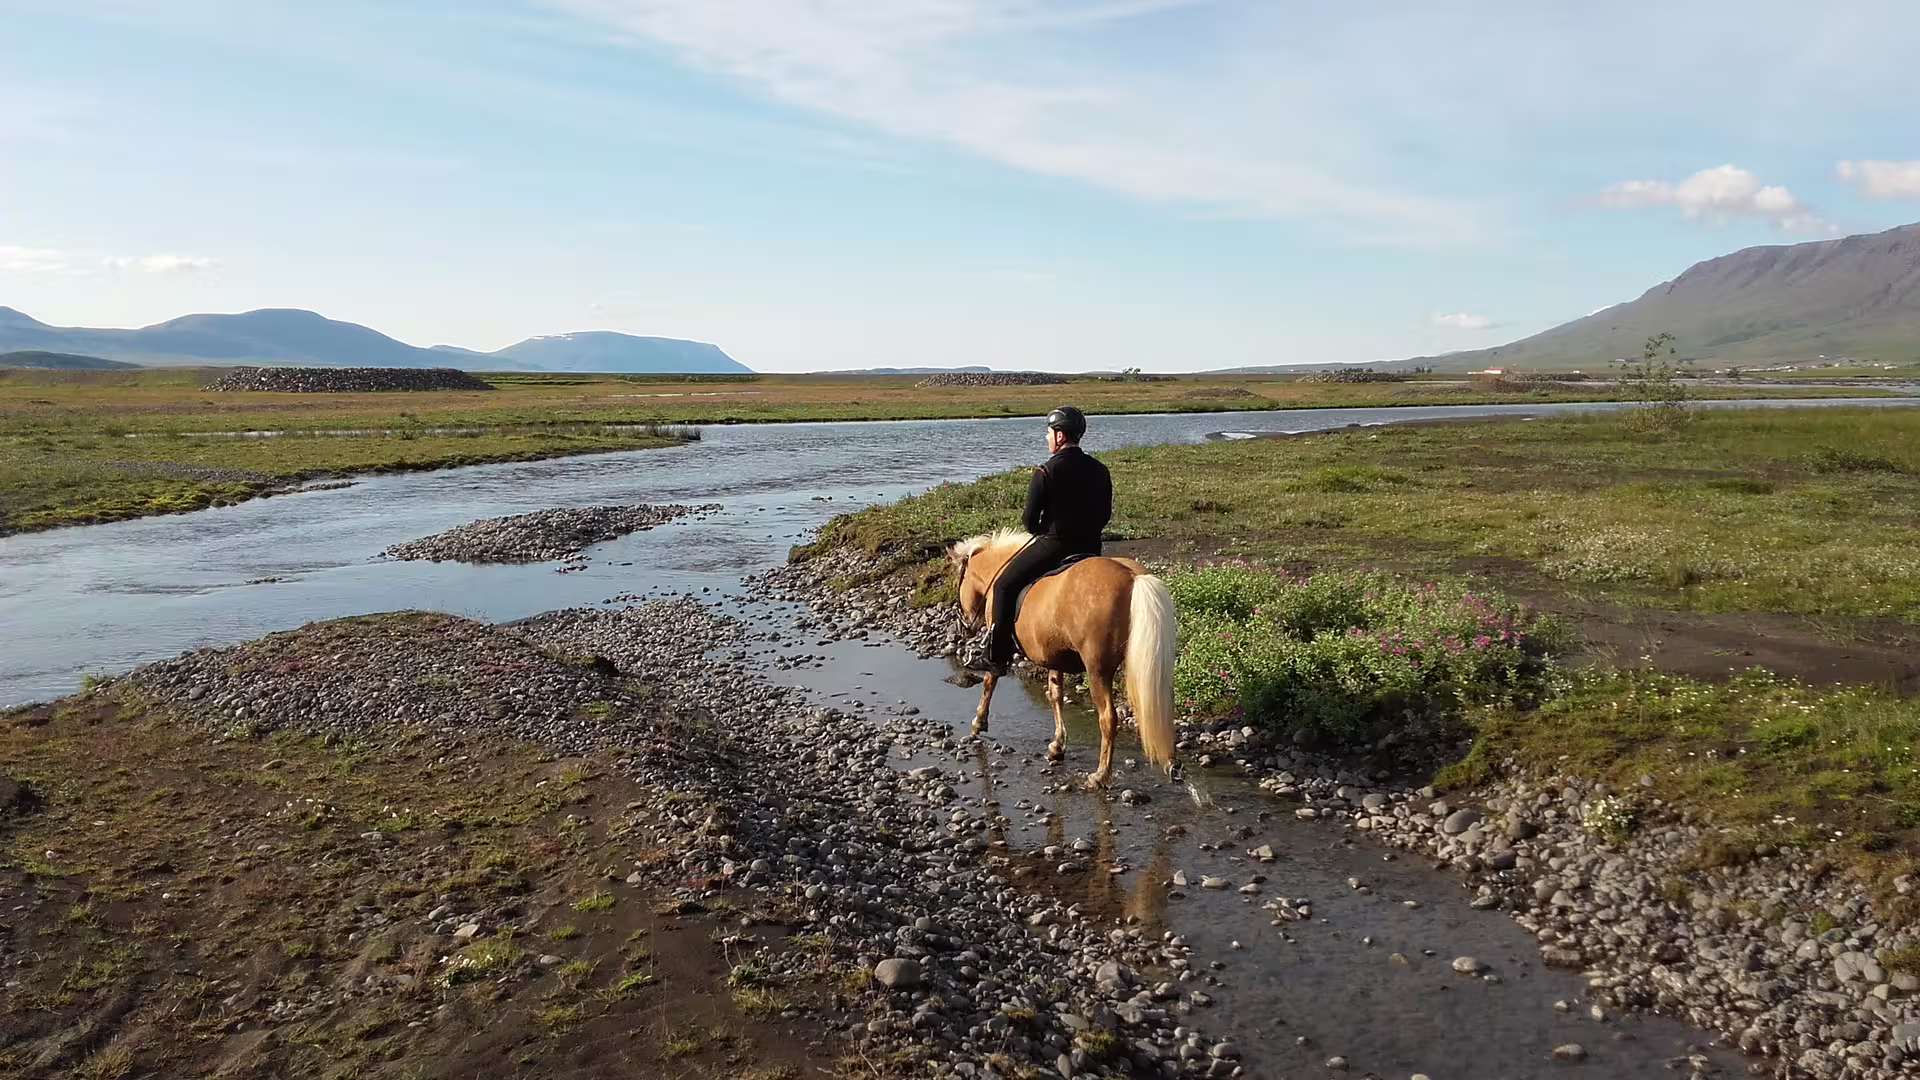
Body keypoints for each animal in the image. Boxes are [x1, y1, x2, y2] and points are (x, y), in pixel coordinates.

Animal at [949, 529, 1178, 788]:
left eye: (959, 581)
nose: (962, 625)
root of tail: (1133, 577)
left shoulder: (999, 645)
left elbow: (990, 680)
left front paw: (979, 723)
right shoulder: (1053, 656)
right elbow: (1055, 695)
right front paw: (1057, 745)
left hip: (1097, 670)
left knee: (1108, 718)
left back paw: (1100, 775)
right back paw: (1170, 764)